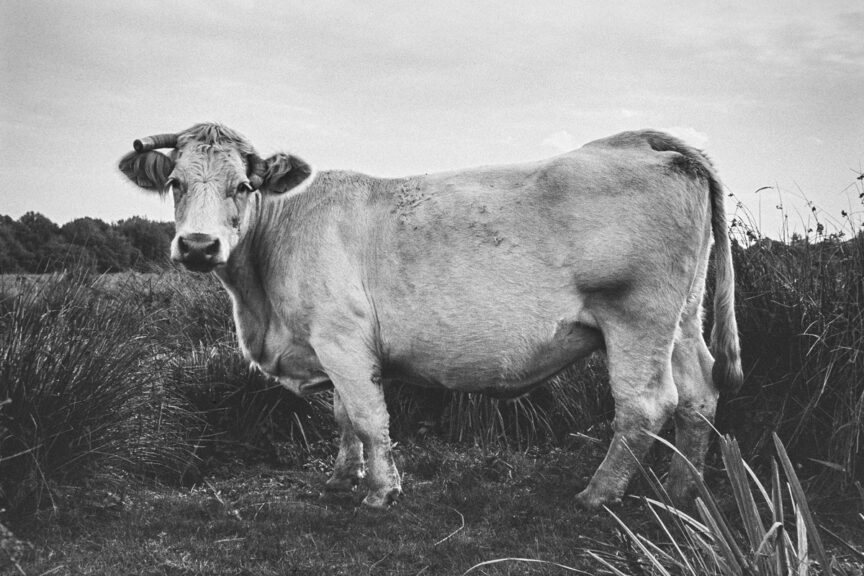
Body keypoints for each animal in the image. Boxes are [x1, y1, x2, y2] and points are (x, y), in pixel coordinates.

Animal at [120, 124, 744, 510]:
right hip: (682, 318)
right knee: (699, 394)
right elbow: (344, 418)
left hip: (636, 318)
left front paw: (380, 492)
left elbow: (368, 418)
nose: (198, 246)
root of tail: (639, 141)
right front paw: (340, 479)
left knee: (646, 405)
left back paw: (599, 495)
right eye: (174, 183)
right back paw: (683, 490)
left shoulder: (342, 340)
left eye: (244, 185)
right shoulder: (329, 348)